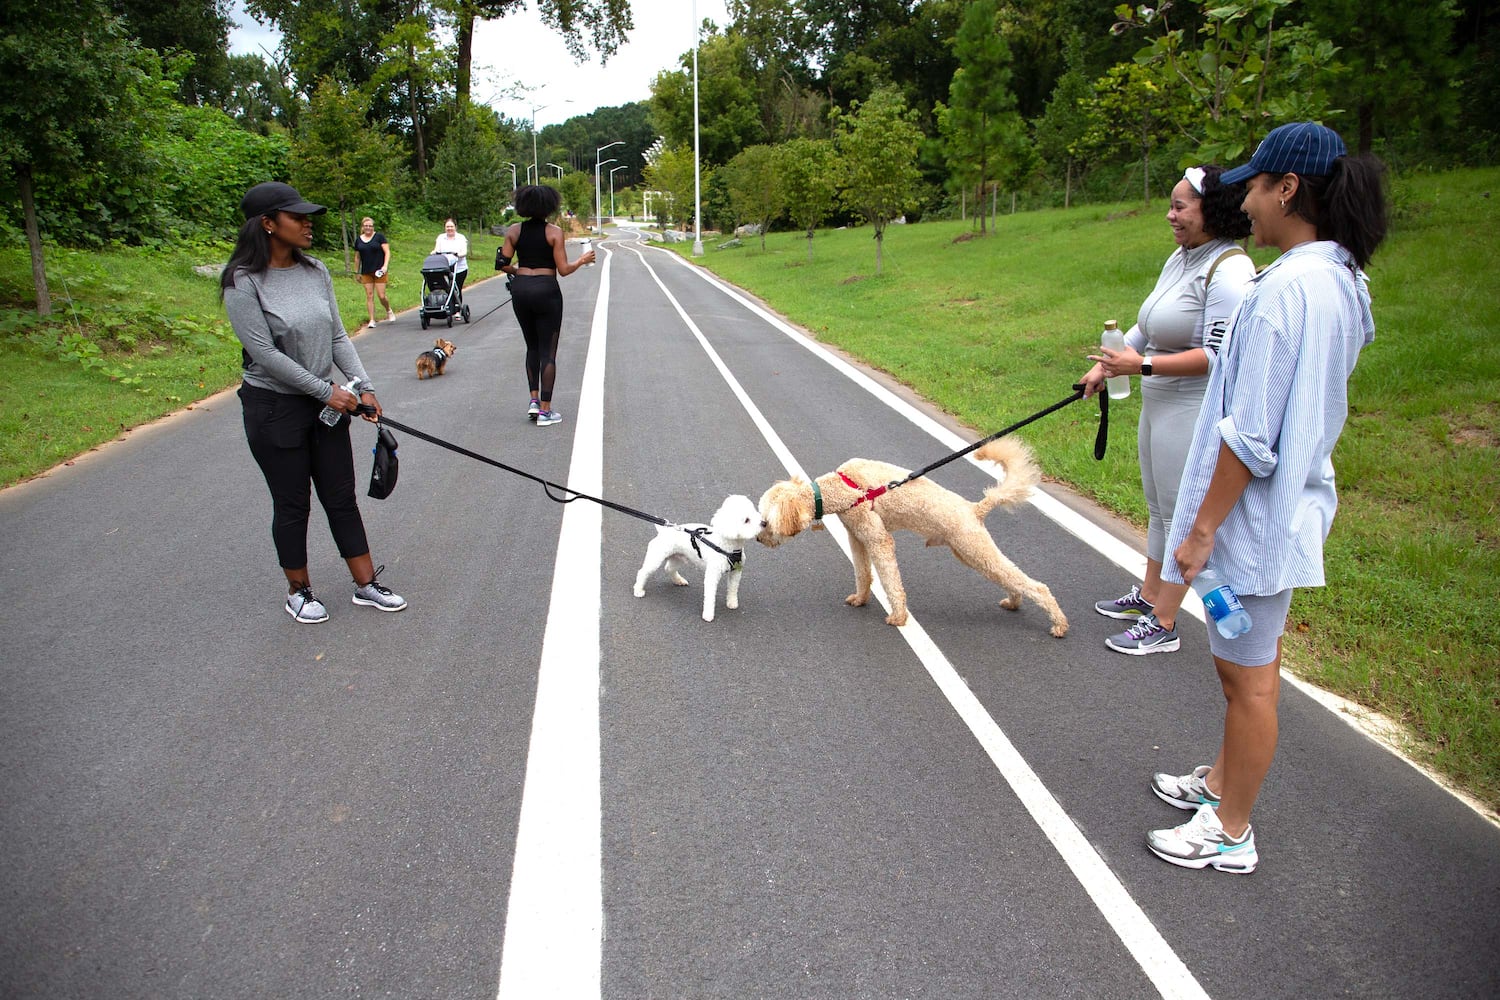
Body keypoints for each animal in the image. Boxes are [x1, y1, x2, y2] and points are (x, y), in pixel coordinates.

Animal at [633, 494, 768, 620]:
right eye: (746, 520)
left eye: (755, 512)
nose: (764, 523)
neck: (727, 546)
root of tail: (664, 530)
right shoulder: (712, 574)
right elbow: (710, 596)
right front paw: (708, 615)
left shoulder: (736, 572)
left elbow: (733, 589)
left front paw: (732, 603)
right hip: (656, 557)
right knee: (643, 572)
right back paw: (638, 590)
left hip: (678, 557)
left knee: (669, 569)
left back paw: (678, 580)